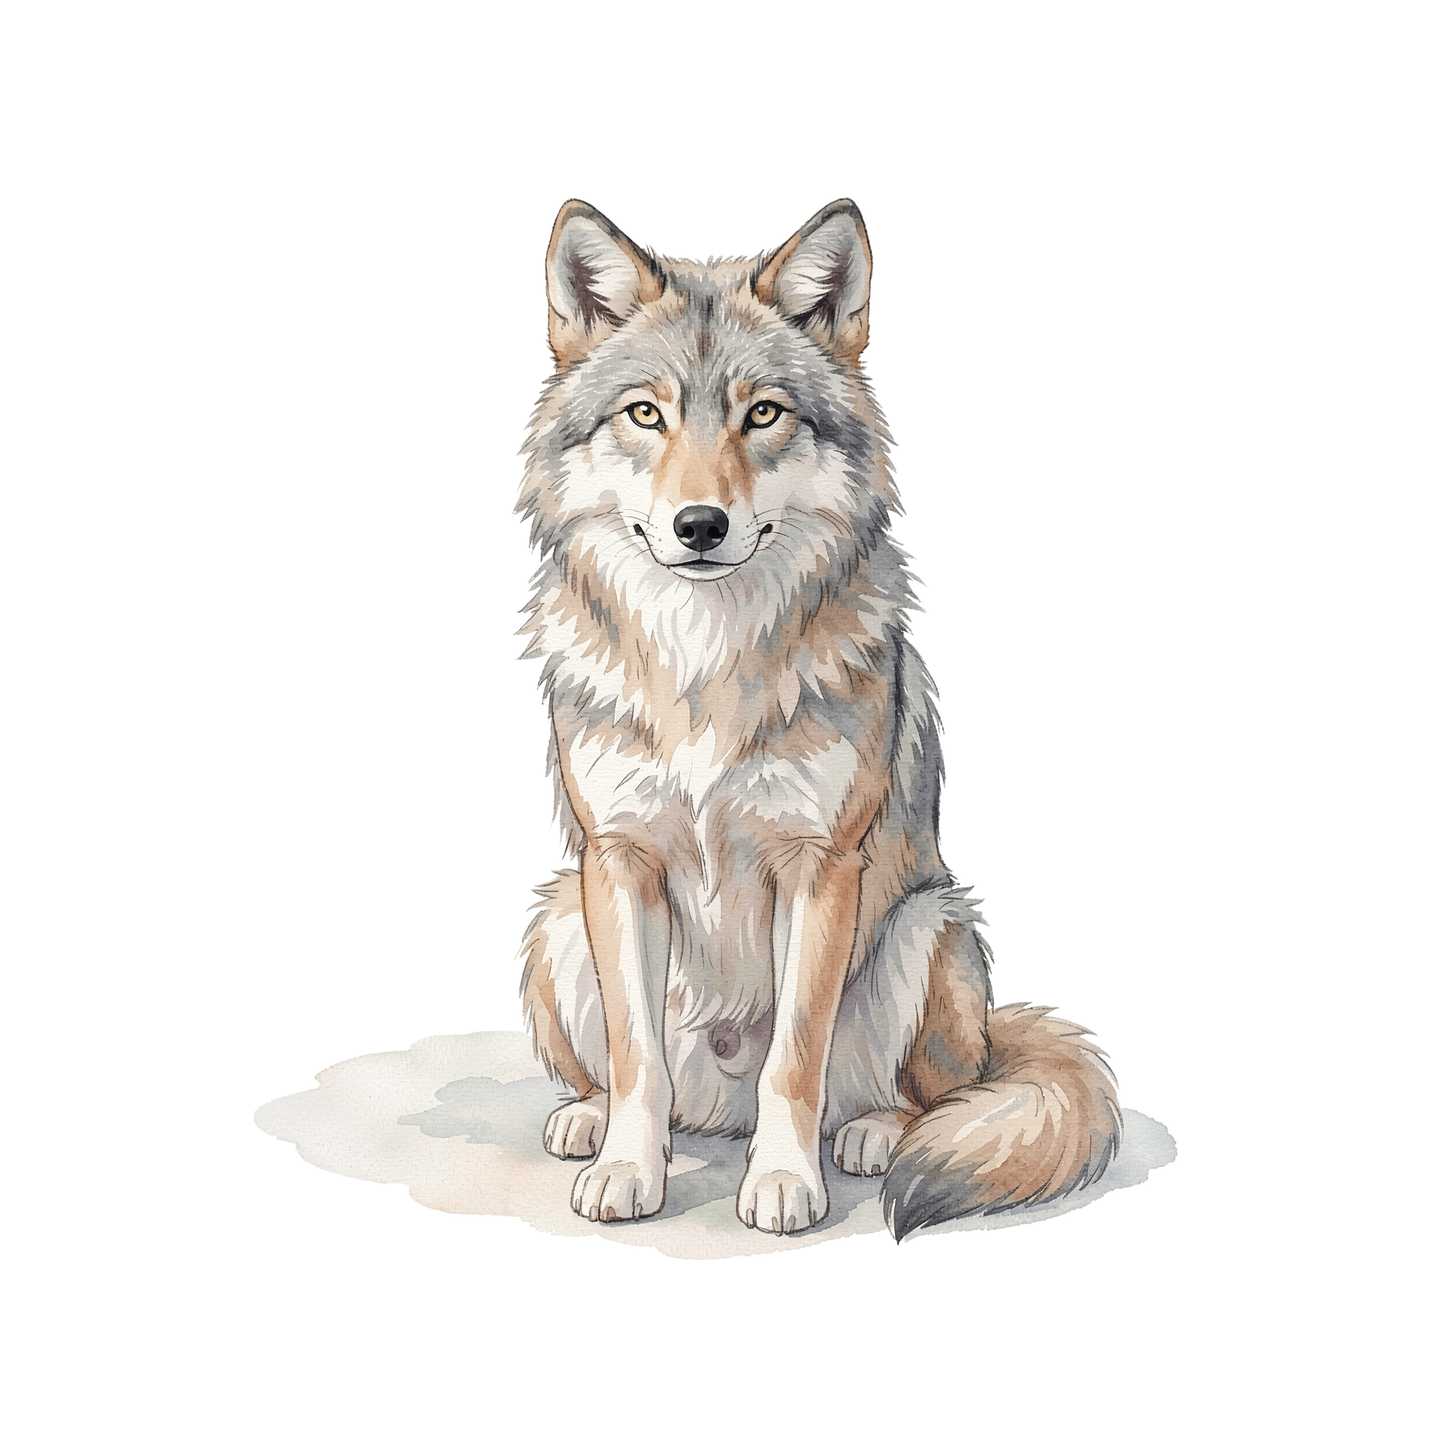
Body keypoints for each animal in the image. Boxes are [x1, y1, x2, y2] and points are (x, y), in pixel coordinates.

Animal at [516, 198, 1121, 1239]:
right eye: (646, 413)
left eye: (762, 413)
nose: (701, 526)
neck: (705, 661)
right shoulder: (616, 858)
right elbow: (636, 1054)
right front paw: (628, 1168)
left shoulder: (820, 865)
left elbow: (793, 1058)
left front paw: (782, 1184)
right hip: (558, 916)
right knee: (646, 1079)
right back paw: (588, 1119)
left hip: (928, 926)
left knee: (923, 1093)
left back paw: (871, 1133)